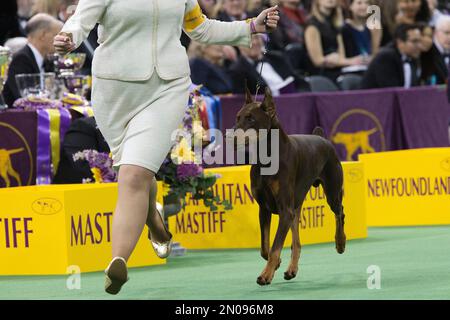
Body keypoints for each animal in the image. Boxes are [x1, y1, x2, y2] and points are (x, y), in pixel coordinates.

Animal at [232, 85, 348, 284]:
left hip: (332, 191)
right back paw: (291, 269)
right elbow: (265, 248)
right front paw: (276, 265)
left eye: (251, 118)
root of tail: (321, 138)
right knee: (297, 242)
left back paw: (340, 242)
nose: (229, 137)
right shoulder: (264, 208)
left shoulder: (285, 210)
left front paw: (266, 274)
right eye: (238, 117)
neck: (267, 157)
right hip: (296, 203)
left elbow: (275, 246)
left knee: (340, 212)